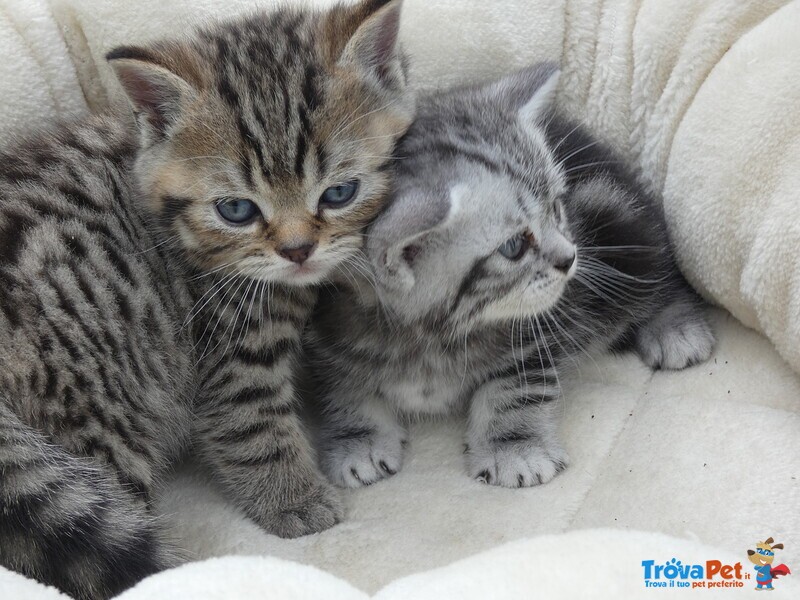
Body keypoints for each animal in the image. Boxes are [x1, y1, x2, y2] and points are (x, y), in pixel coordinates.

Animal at [0, 2, 412, 596]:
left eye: (340, 193)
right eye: (236, 210)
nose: (297, 250)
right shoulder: (227, 343)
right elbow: (247, 419)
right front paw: (293, 499)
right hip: (94, 394)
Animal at [310, 64, 716, 488]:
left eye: (556, 208)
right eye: (513, 247)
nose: (569, 258)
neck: (431, 338)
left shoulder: (536, 335)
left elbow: (516, 386)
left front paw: (514, 446)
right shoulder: (326, 338)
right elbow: (341, 390)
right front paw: (357, 438)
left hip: (618, 222)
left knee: (659, 268)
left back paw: (675, 326)